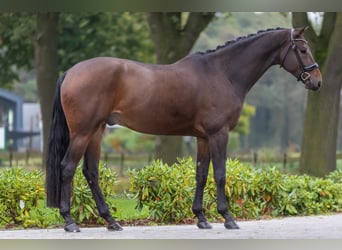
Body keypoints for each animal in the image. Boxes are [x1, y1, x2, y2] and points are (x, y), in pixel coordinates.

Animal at [46, 27, 322, 232]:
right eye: (303, 49)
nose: (317, 81)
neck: (223, 72)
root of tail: (70, 72)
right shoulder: (219, 134)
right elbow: (220, 174)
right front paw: (228, 218)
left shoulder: (203, 138)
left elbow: (201, 174)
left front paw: (201, 218)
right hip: (83, 132)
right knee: (67, 168)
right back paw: (70, 222)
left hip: (97, 131)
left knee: (91, 172)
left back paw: (111, 222)